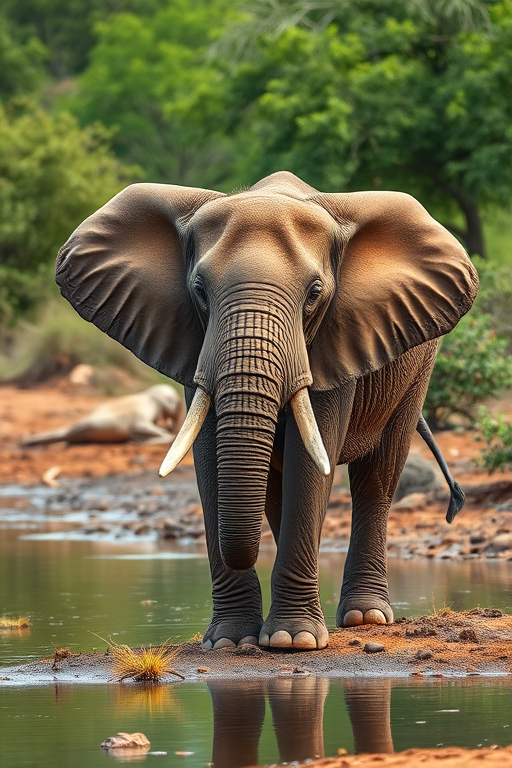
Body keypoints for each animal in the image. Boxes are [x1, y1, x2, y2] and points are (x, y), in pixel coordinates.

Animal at [55, 171, 478, 650]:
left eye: (314, 294)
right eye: (199, 291)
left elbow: (310, 463)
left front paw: (293, 641)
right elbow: (209, 460)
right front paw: (229, 642)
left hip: (417, 369)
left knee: (377, 477)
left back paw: (365, 618)